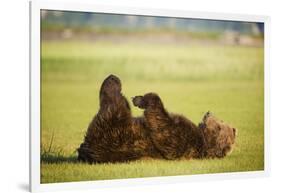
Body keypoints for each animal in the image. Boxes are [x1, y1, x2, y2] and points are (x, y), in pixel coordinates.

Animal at [77, 74, 236, 164]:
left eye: (221, 123)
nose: (208, 112)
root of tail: (88, 149)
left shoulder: (182, 138)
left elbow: (162, 126)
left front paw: (140, 99)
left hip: (112, 130)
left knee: (114, 103)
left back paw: (112, 80)